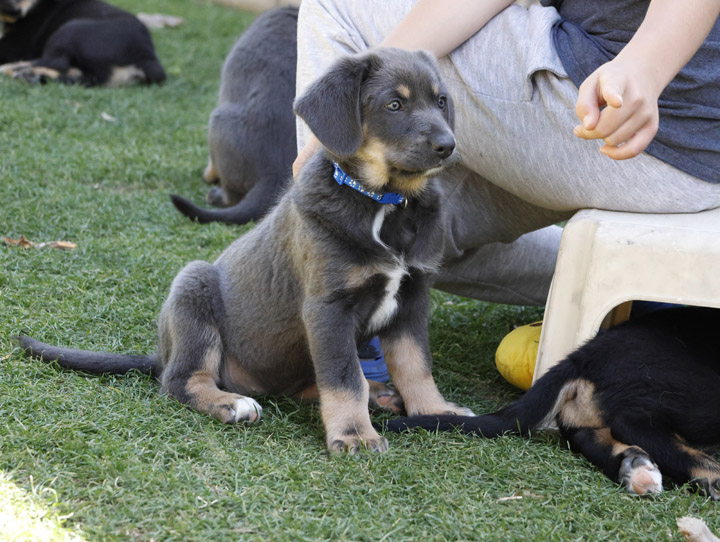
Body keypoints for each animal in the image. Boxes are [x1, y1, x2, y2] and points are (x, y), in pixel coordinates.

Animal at [15, 47, 472, 454]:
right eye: (394, 104)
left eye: (441, 101)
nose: (448, 145)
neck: (386, 204)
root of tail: (160, 355)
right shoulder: (328, 307)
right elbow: (344, 377)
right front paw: (355, 436)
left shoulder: (412, 296)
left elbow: (415, 365)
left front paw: (434, 412)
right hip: (194, 289)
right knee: (182, 381)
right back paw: (230, 404)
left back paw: (380, 392)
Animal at [388, 308, 720, 504]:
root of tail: (587, 352)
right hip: (698, 388)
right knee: (631, 422)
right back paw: (711, 474)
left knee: (583, 430)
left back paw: (635, 466)